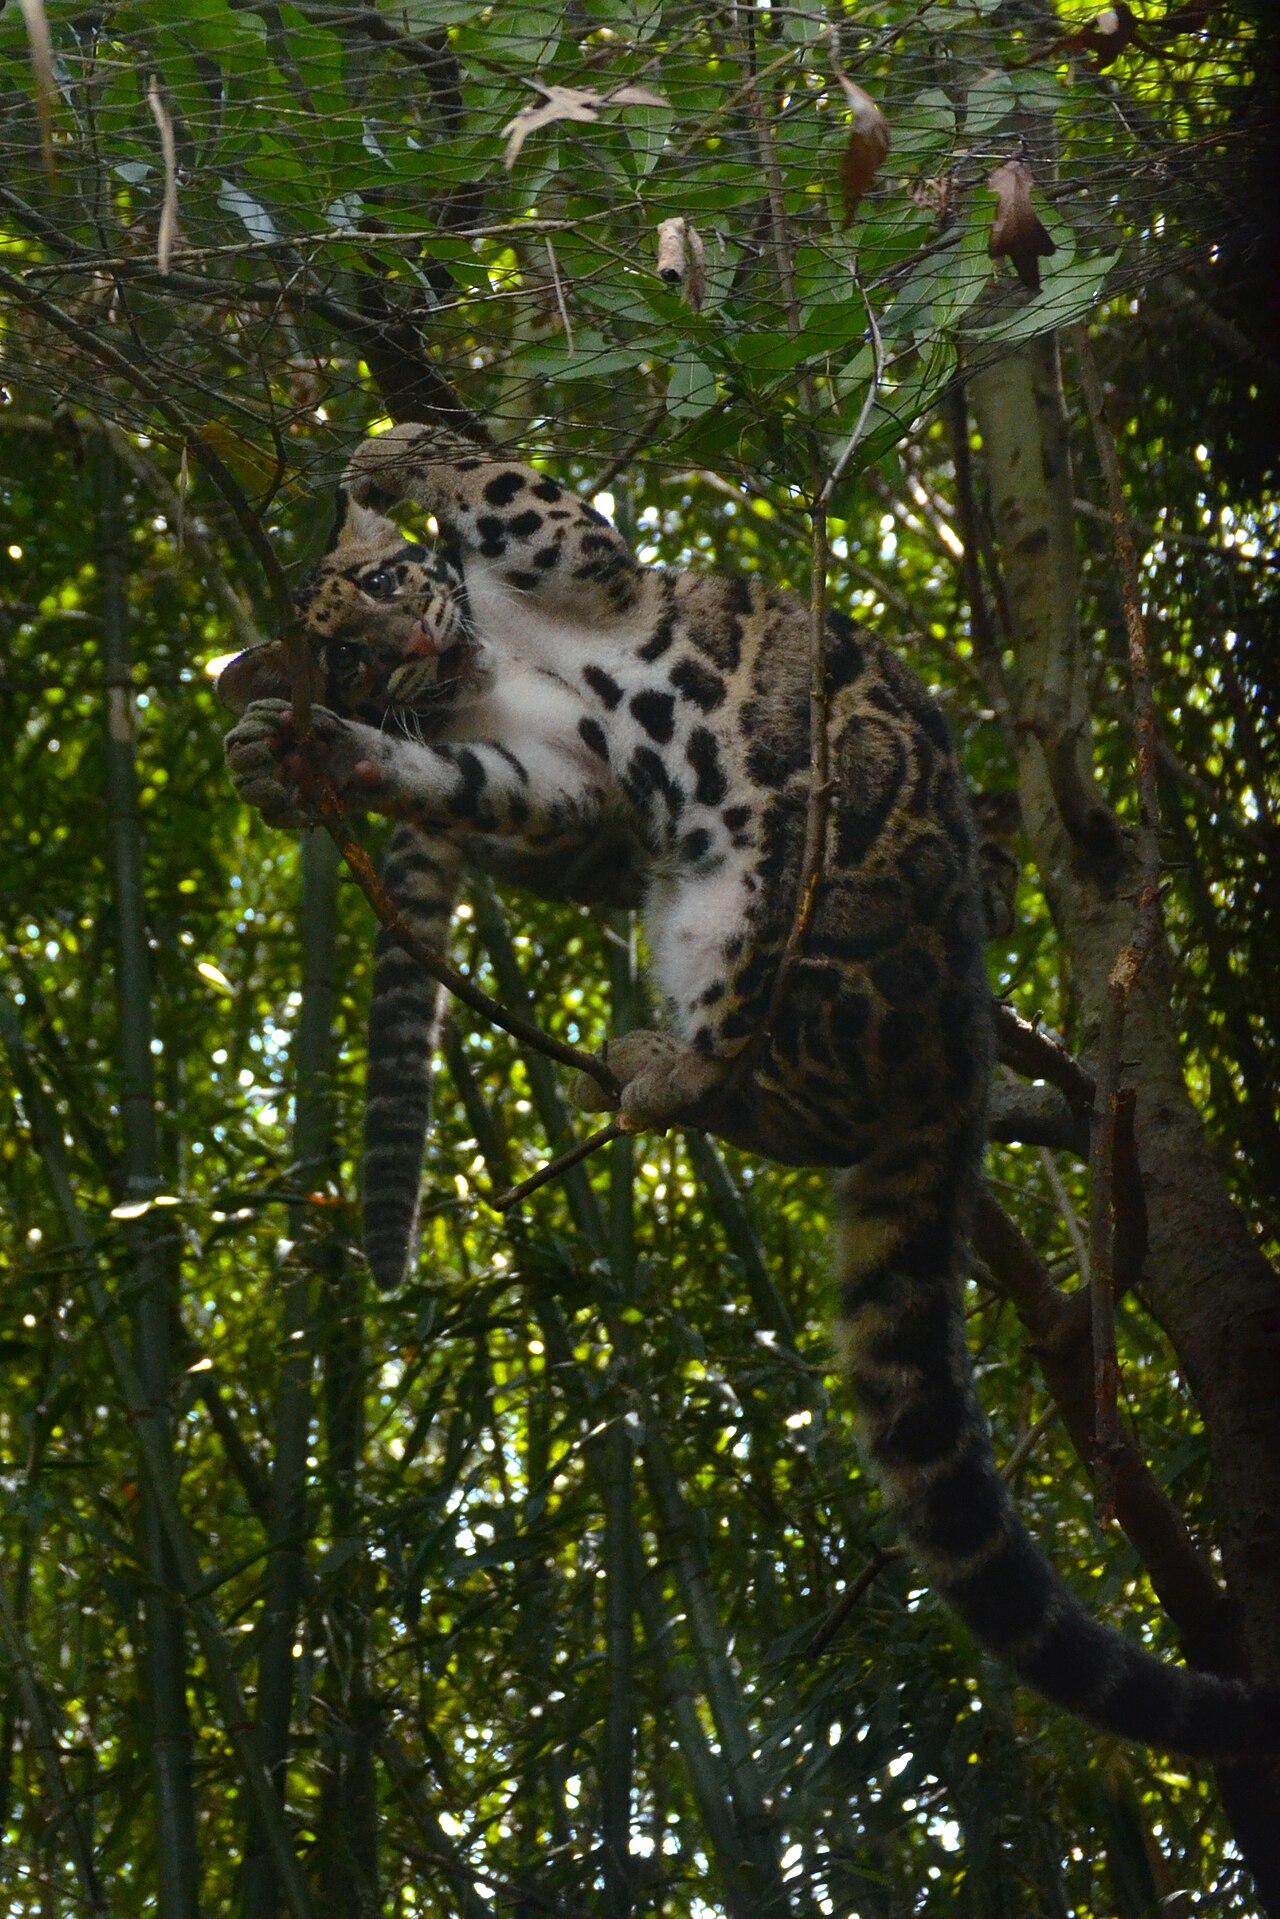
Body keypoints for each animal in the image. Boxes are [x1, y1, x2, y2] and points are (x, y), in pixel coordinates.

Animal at [222, 423, 1279, 1757]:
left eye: (380, 585)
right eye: (352, 658)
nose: (409, 643)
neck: (483, 663)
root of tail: (955, 1044)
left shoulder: (582, 560)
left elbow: (497, 481)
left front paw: (393, 453)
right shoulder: (549, 765)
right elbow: (458, 775)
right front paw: (322, 749)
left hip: (782, 877)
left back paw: (655, 1067)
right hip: (717, 915)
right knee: (777, 1106)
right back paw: (648, 1068)